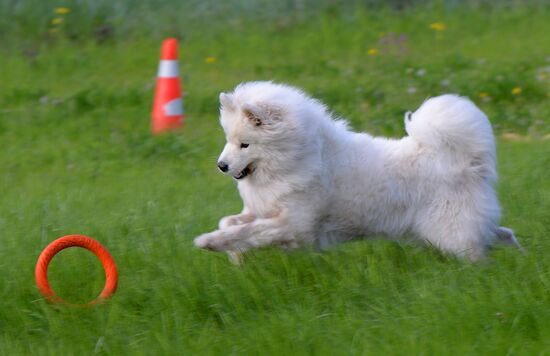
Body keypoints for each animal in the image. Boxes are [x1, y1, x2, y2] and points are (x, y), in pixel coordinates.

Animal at [196, 80, 524, 260]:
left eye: (245, 144)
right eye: (228, 140)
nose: (221, 166)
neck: (296, 158)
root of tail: (467, 161)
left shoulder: (294, 224)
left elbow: (246, 231)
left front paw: (210, 243)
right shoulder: (264, 211)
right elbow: (231, 222)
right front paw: (236, 255)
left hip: (450, 234)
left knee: (481, 248)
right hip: (449, 230)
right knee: (501, 232)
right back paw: (520, 256)